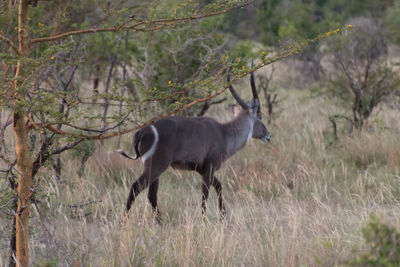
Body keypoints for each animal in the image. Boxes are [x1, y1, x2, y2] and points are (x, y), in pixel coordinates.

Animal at [117, 70, 270, 222]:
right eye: (260, 116)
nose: (268, 135)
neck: (224, 133)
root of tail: (143, 131)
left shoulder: (203, 170)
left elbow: (219, 186)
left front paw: (222, 215)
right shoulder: (209, 168)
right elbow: (205, 194)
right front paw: (204, 219)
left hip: (155, 170)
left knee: (151, 195)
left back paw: (160, 221)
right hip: (156, 167)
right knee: (136, 187)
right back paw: (126, 219)